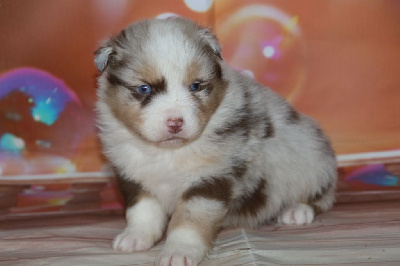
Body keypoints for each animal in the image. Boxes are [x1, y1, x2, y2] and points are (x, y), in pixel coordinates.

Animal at [95, 17, 336, 266]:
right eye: (144, 89)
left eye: (196, 86)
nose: (175, 123)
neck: (170, 151)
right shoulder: (134, 175)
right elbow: (142, 211)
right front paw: (135, 238)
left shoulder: (209, 179)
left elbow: (190, 221)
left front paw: (179, 252)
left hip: (311, 157)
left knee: (323, 195)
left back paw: (298, 211)